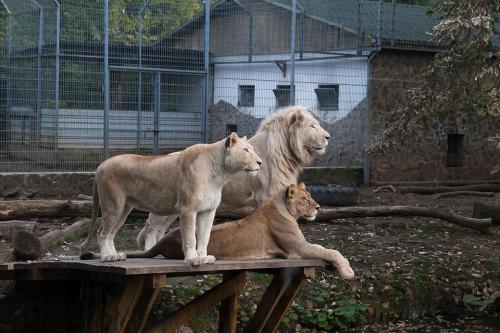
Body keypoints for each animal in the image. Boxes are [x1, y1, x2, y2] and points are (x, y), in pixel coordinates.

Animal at [80, 131, 262, 264]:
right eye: (246, 150)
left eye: (252, 149)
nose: (260, 162)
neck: (220, 174)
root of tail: (100, 165)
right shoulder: (188, 209)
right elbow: (190, 237)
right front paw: (192, 259)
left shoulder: (208, 211)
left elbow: (205, 237)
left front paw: (204, 257)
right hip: (113, 204)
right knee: (102, 232)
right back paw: (107, 257)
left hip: (124, 209)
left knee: (110, 233)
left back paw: (116, 256)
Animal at [124, 183, 354, 278]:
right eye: (305, 199)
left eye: (310, 197)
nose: (318, 207)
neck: (281, 206)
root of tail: (166, 239)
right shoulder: (297, 249)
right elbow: (330, 251)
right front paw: (348, 272)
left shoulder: (301, 245)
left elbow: (325, 248)